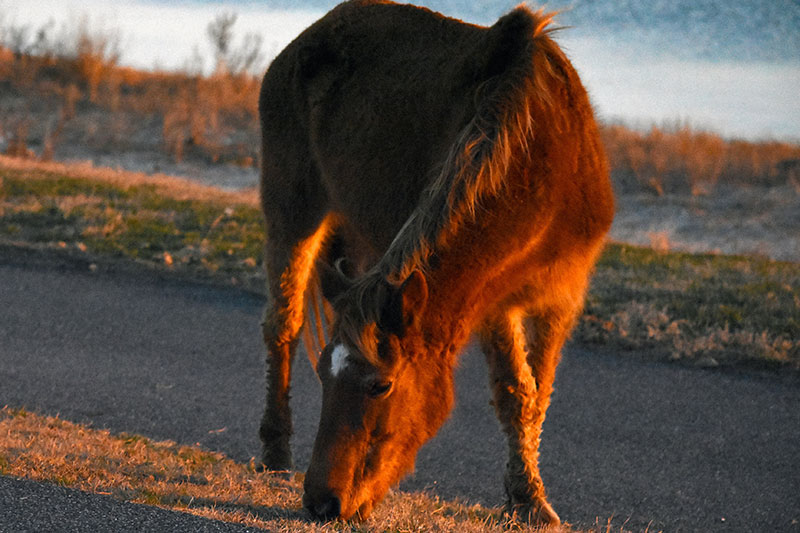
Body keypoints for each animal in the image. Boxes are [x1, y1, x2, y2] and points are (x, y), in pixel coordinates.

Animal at [257, 0, 614, 525]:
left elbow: (535, 393)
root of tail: (313, 32)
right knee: (283, 324)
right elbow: (515, 393)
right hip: (293, 209)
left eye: (380, 386)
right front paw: (525, 496)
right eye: (323, 375)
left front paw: (530, 499)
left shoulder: (559, 298)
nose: (323, 503)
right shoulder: (494, 302)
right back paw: (274, 451)